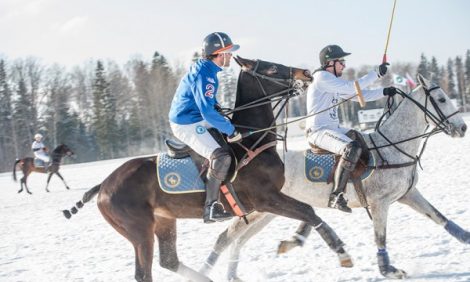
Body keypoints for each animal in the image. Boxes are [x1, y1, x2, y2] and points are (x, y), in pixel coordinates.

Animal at [63, 55, 348, 282]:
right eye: (270, 68)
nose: (306, 73)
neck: (250, 141)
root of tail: (103, 185)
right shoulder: (265, 198)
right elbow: (309, 211)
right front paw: (340, 249)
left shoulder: (266, 202)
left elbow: (306, 212)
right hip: (139, 230)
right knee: (144, 273)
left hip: (164, 221)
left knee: (168, 260)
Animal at [200, 74, 468, 280]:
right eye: (441, 99)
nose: (463, 128)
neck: (394, 146)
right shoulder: (379, 203)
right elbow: (380, 236)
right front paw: (388, 270)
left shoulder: (408, 193)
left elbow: (438, 216)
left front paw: (466, 237)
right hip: (259, 208)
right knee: (227, 237)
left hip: (266, 211)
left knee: (237, 239)